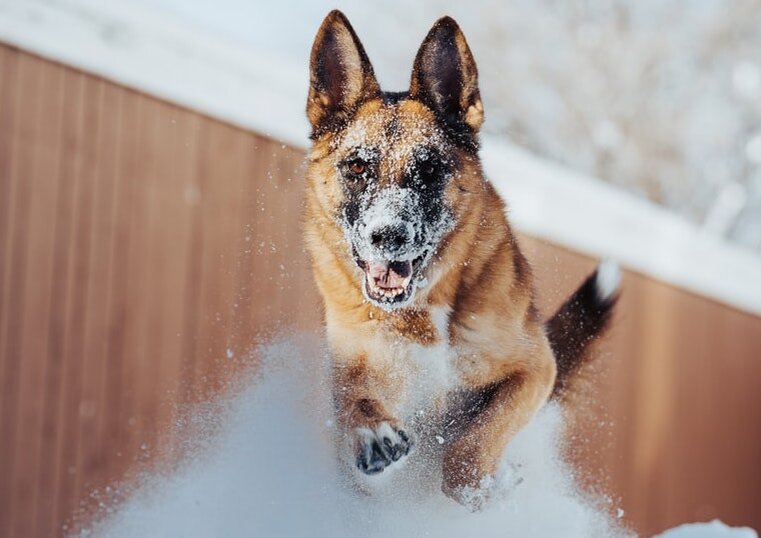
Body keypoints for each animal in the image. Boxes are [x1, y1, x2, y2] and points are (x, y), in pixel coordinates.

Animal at [302, 8, 616, 502]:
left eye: (429, 169)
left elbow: (472, 445)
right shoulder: (353, 373)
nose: (386, 236)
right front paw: (372, 433)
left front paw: (480, 486)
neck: (423, 309)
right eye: (357, 166)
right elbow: (355, 398)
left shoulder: (534, 369)